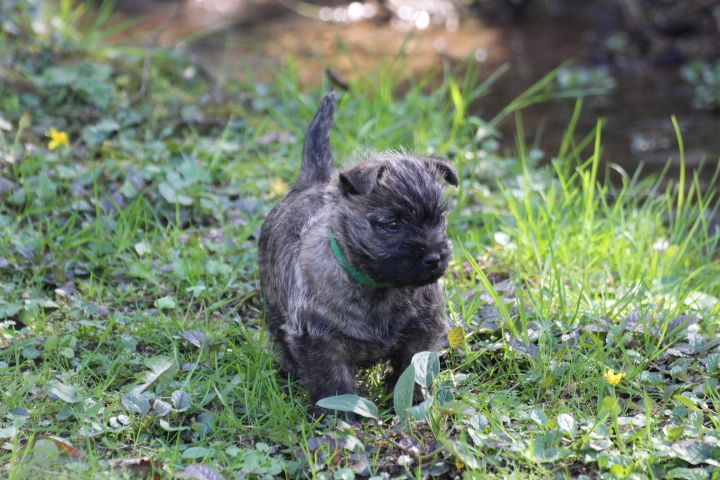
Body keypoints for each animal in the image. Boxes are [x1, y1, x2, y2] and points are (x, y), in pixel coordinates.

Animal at [258, 92, 458, 414]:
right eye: (392, 223)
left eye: (439, 218)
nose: (434, 258)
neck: (380, 288)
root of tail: (314, 182)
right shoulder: (318, 339)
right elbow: (333, 383)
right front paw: (340, 417)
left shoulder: (421, 331)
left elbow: (410, 368)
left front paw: (412, 401)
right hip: (275, 307)